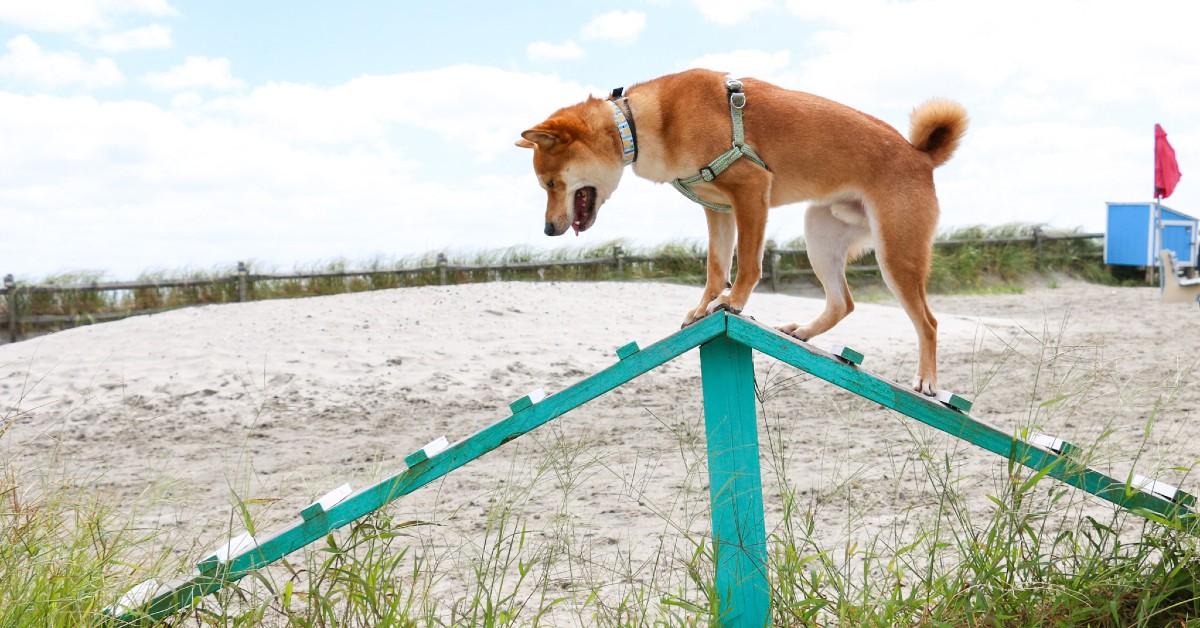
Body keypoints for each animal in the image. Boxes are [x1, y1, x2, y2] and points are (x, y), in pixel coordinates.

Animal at [516, 68, 964, 393]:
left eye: (550, 184)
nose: (548, 230)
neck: (637, 124)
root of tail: (919, 155)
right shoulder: (719, 211)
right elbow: (716, 268)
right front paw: (704, 308)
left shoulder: (750, 192)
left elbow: (746, 265)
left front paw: (733, 303)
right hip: (820, 236)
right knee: (843, 303)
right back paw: (803, 331)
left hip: (896, 255)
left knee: (928, 322)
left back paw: (926, 381)